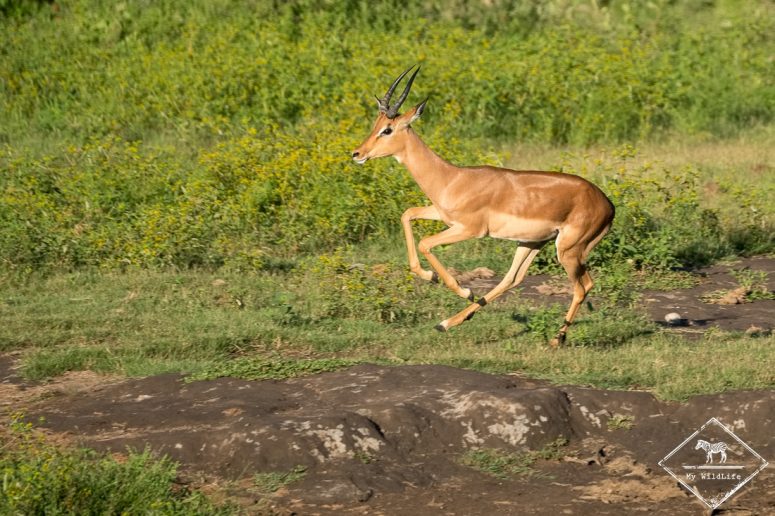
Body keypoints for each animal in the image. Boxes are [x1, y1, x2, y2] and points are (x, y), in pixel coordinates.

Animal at [351, 66, 615, 346]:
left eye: (387, 129)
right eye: (376, 125)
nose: (357, 154)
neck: (452, 178)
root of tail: (608, 205)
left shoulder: (469, 229)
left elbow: (425, 243)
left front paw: (462, 288)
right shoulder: (443, 215)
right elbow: (407, 214)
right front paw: (435, 278)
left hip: (568, 250)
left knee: (583, 286)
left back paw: (557, 338)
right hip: (532, 243)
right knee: (513, 278)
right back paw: (446, 323)